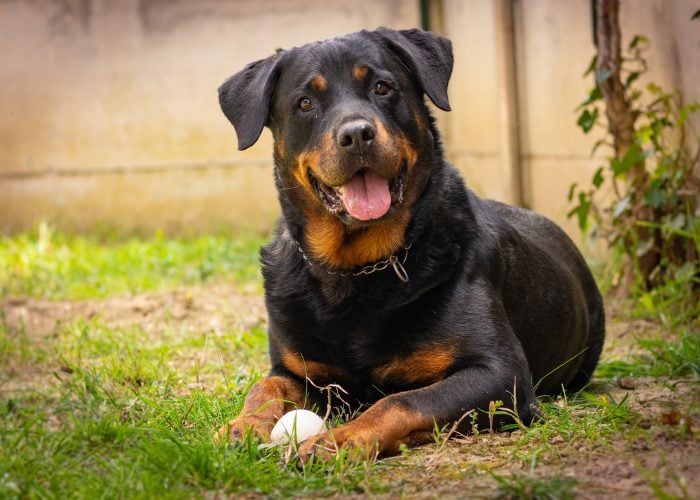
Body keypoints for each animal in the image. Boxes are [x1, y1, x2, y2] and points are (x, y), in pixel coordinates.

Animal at [216, 26, 604, 458]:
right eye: (304, 103)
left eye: (382, 87)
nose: (357, 134)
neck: (356, 269)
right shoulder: (299, 370)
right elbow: (266, 385)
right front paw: (242, 425)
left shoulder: (501, 374)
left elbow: (402, 401)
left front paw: (341, 439)